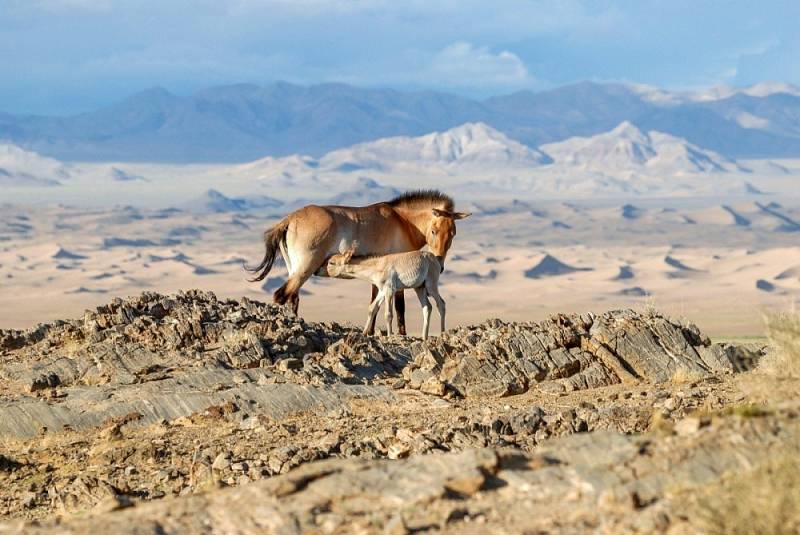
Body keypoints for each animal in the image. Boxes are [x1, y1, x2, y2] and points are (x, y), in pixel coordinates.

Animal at [245, 191, 468, 336]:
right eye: (434, 231)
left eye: (453, 233)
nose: (439, 264)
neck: (403, 222)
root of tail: (289, 220)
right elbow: (399, 307)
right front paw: (400, 334)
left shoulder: (380, 278)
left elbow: (374, 304)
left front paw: (369, 332)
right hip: (303, 270)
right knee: (282, 295)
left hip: (295, 270)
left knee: (293, 298)